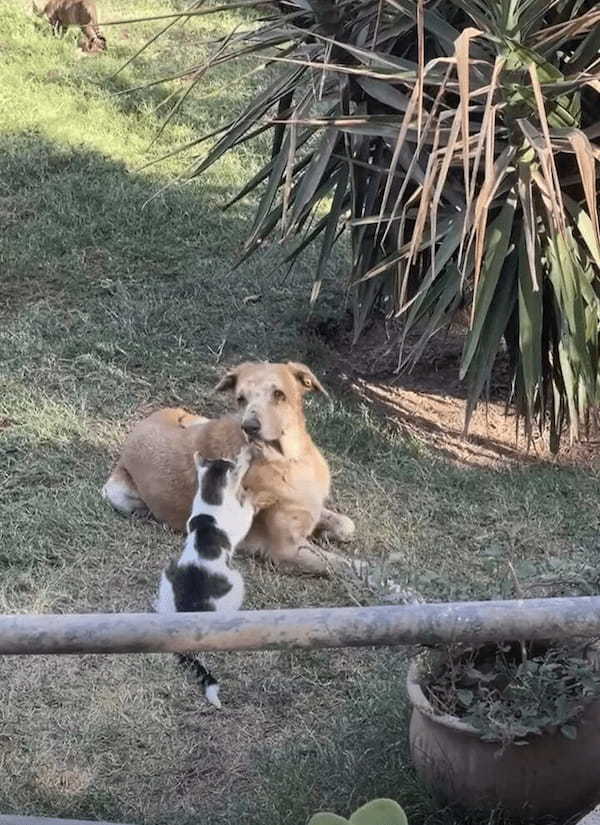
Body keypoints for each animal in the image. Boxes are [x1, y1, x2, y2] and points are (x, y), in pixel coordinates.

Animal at [102, 364, 356, 576]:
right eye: (241, 398)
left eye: (279, 394)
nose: (249, 427)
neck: (288, 458)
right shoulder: (286, 550)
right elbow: (346, 565)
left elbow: (346, 525)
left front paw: (328, 532)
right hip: (117, 494)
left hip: (200, 420)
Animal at [156, 450, 254, 708]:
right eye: (229, 461)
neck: (210, 508)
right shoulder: (238, 524)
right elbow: (248, 515)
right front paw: (253, 497)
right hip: (237, 582)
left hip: (167, 575)